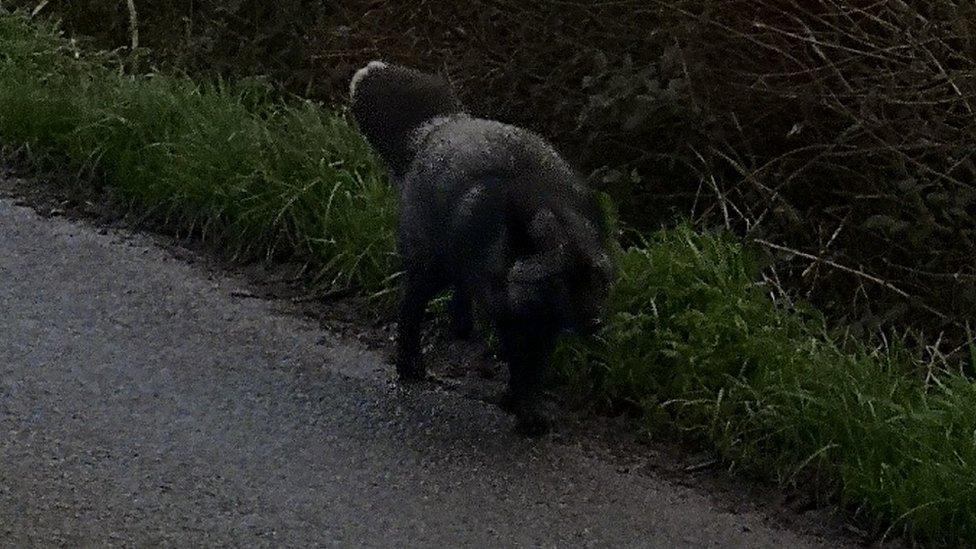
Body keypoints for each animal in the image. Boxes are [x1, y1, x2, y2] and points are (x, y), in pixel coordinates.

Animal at [350, 61, 608, 436]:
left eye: (598, 279)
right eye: (561, 280)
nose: (596, 322)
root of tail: (443, 124)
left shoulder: (542, 325)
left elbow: (535, 368)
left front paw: (518, 401)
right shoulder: (511, 317)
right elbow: (522, 366)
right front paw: (525, 409)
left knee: (459, 293)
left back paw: (461, 325)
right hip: (432, 268)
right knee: (409, 308)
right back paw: (409, 364)